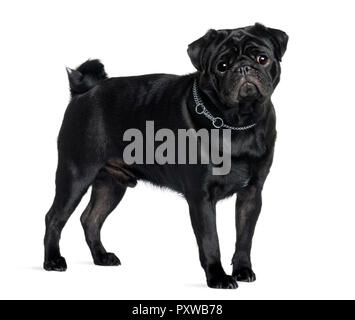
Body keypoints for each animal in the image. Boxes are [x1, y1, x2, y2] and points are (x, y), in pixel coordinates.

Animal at [44, 21, 290, 288]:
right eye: (222, 66)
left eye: (262, 58)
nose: (244, 67)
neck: (237, 123)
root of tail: (84, 90)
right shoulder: (201, 198)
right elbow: (210, 242)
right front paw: (217, 276)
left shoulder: (251, 194)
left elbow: (245, 238)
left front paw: (243, 270)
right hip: (75, 175)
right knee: (54, 218)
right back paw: (53, 261)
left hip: (111, 184)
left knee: (91, 219)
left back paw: (101, 257)